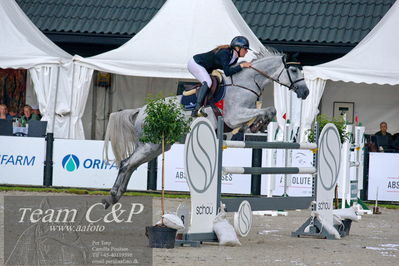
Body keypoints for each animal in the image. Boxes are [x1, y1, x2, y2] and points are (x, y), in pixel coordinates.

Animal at [102, 47, 310, 208]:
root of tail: (141, 110)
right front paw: (260, 122)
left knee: (132, 165)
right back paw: (111, 196)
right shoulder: (234, 117)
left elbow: (268, 111)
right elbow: (266, 110)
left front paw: (259, 124)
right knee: (126, 163)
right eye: (293, 70)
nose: (306, 92)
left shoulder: (241, 117)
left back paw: (115, 197)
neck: (247, 83)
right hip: (150, 144)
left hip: (159, 146)